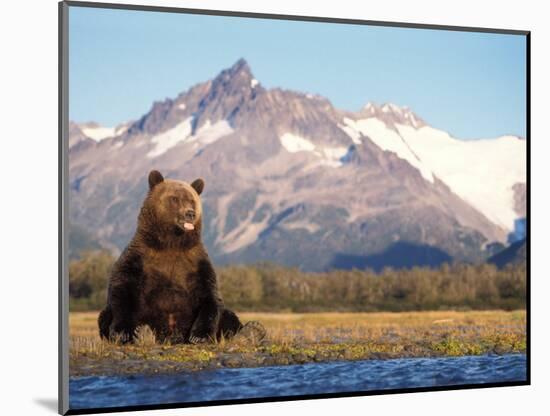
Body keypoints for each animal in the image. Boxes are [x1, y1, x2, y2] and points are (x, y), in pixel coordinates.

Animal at [98, 170, 266, 344]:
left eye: (192, 200)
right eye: (174, 198)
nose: (190, 213)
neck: (172, 242)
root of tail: (173, 337)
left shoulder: (195, 263)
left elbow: (210, 297)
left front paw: (200, 336)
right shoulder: (139, 257)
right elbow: (123, 289)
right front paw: (123, 333)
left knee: (228, 315)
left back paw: (252, 331)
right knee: (105, 315)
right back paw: (143, 332)